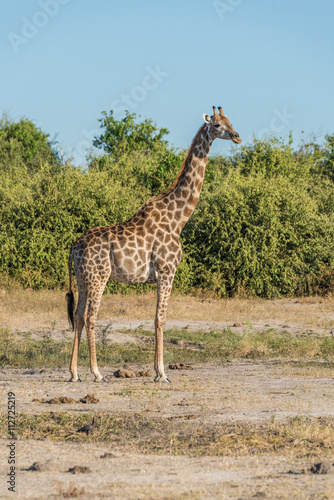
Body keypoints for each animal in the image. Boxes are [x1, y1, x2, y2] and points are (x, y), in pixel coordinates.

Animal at [66, 106, 241, 382]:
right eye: (216, 125)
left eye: (230, 121)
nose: (236, 136)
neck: (178, 218)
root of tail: (73, 248)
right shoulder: (167, 271)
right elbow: (161, 319)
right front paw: (162, 373)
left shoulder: (161, 275)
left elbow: (157, 318)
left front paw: (158, 371)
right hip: (98, 276)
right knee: (90, 316)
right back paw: (96, 373)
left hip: (83, 278)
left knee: (77, 316)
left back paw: (74, 373)